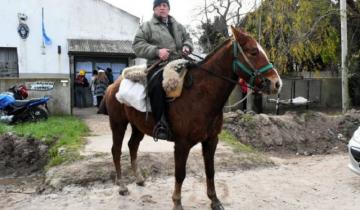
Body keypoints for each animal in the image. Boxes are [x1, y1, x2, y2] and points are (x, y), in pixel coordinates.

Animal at [100, 26, 282, 210]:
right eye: (253, 51)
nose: (276, 83)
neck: (199, 95)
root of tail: (113, 85)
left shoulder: (211, 140)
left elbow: (210, 170)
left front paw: (214, 200)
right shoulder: (182, 144)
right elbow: (180, 174)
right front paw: (177, 203)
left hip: (138, 127)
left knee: (132, 146)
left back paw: (138, 178)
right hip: (118, 124)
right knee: (116, 150)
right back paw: (122, 186)